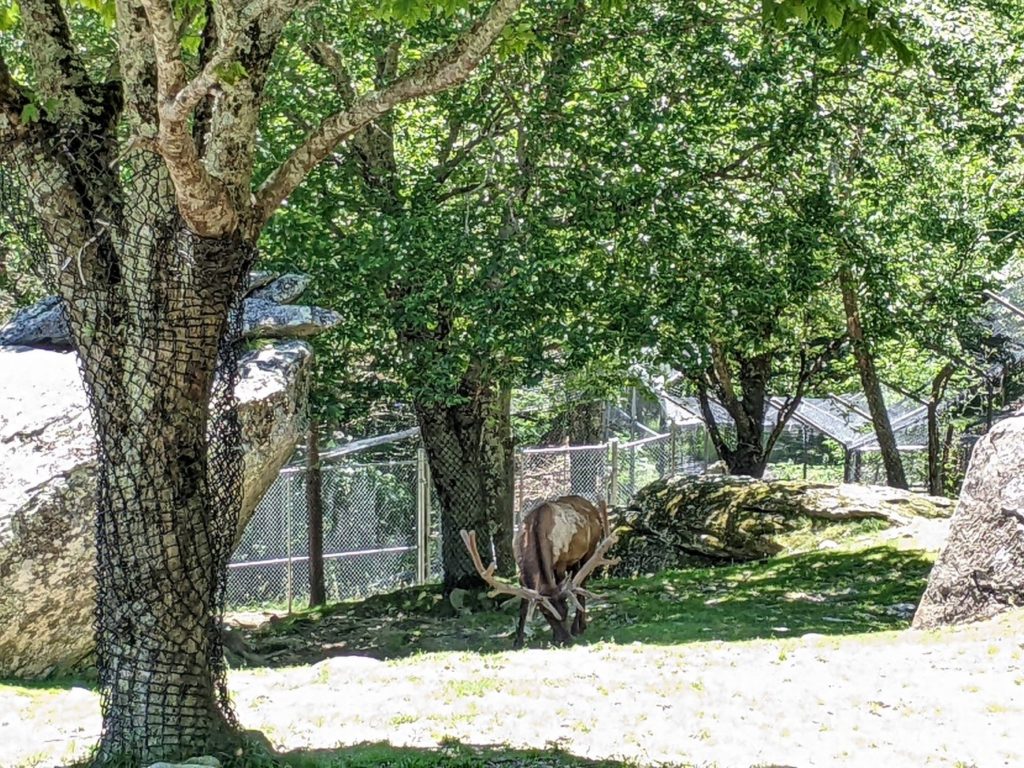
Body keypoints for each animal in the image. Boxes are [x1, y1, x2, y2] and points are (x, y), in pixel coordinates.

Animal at [462, 495, 618, 651]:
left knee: (582, 585)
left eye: (566, 610)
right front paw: (518, 641)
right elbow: (524, 606)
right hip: (574, 560)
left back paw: (578, 627)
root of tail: (591, 506)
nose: (567, 641)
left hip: (590, 549)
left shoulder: (561, 562)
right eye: (546, 613)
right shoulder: (522, 571)